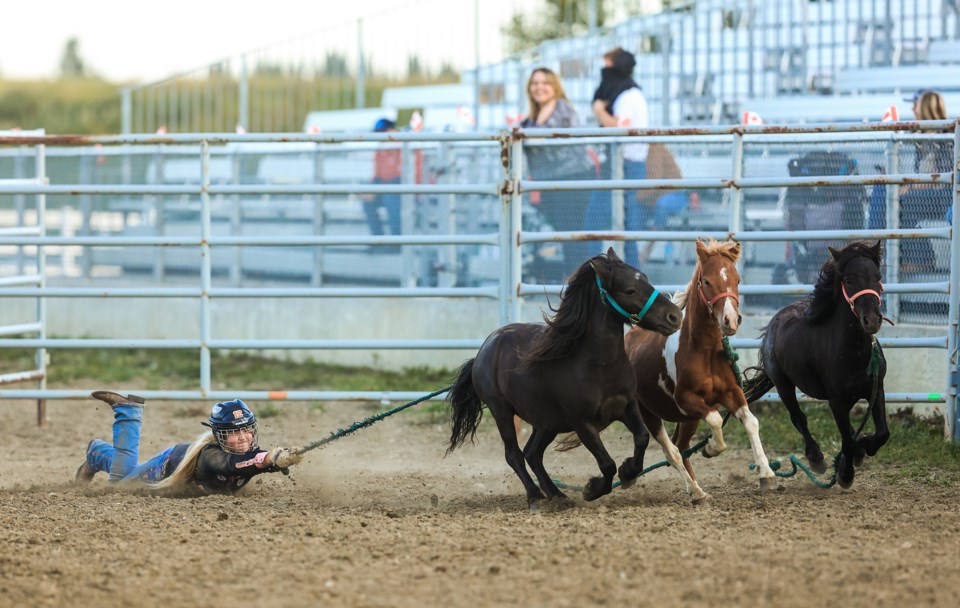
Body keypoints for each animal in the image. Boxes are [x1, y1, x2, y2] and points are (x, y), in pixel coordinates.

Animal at [444, 249, 680, 510]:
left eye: (646, 279)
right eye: (630, 290)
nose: (674, 315)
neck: (599, 366)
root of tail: (483, 351)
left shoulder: (627, 407)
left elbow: (642, 438)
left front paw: (628, 472)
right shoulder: (583, 423)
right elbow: (606, 463)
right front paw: (592, 489)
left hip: (546, 422)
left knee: (533, 454)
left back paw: (556, 494)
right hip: (501, 411)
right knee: (514, 454)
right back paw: (535, 496)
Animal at [628, 240, 776, 502]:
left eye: (737, 279)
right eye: (706, 281)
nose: (730, 320)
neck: (704, 351)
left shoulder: (731, 392)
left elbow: (751, 422)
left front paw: (767, 474)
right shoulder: (687, 399)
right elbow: (716, 419)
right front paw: (710, 448)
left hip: (689, 419)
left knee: (681, 445)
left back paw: (695, 488)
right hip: (650, 413)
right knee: (672, 450)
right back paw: (696, 491)